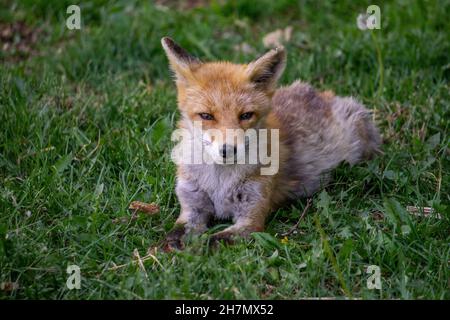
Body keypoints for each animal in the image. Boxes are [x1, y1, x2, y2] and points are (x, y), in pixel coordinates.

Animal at [160, 36, 382, 249]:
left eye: (246, 115)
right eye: (206, 116)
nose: (228, 150)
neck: (219, 182)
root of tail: (320, 93)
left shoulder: (251, 216)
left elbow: (212, 241)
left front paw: (195, 249)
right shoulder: (192, 206)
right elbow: (175, 231)